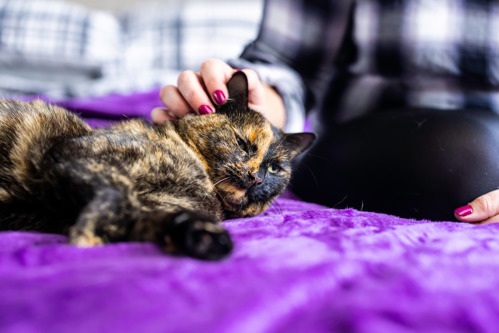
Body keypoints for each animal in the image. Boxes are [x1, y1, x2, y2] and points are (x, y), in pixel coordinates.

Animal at [0, 72, 314, 260]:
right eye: (242, 142)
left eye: (274, 169)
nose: (256, 178)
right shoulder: (74, 152)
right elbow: (118, 191)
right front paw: (86, 237)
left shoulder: (154, 211)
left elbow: (163, 221)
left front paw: (206, 239)